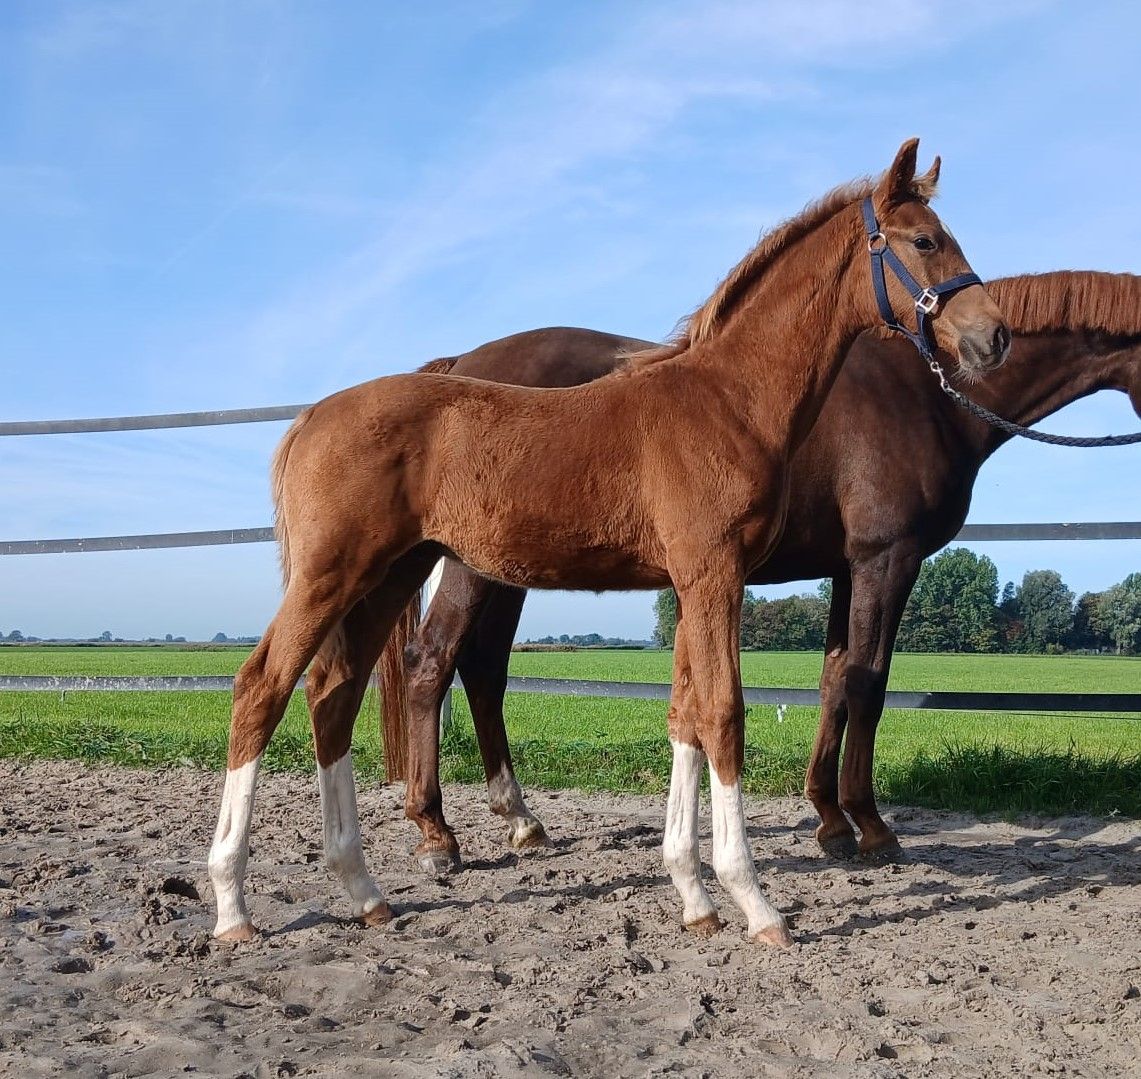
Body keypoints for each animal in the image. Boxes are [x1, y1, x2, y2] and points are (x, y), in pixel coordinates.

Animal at [207, 139, 1009, 946]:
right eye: (925, 241)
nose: (993, 335)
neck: (728, 401)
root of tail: (310, 417)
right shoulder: (715, 575)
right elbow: (723, 714)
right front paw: (754, 902)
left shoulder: (692, 582)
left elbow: (685, 715)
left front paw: (693, 895)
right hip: (330, 573)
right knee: (262, 687)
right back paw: (233, 904)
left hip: (390, 574)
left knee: (332, 696)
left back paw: (364, 888)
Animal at [382, 269, 1141, 873]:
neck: (919, 394)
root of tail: (459, 365)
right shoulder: (886, 560)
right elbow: (868, 684)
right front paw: (871, 827)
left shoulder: (847, 568)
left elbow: (834, 681)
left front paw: (830, 821)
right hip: (476, 568)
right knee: (433, 661)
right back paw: (438, 835)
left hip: (505, 565)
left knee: (482, 669)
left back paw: (520, 819)